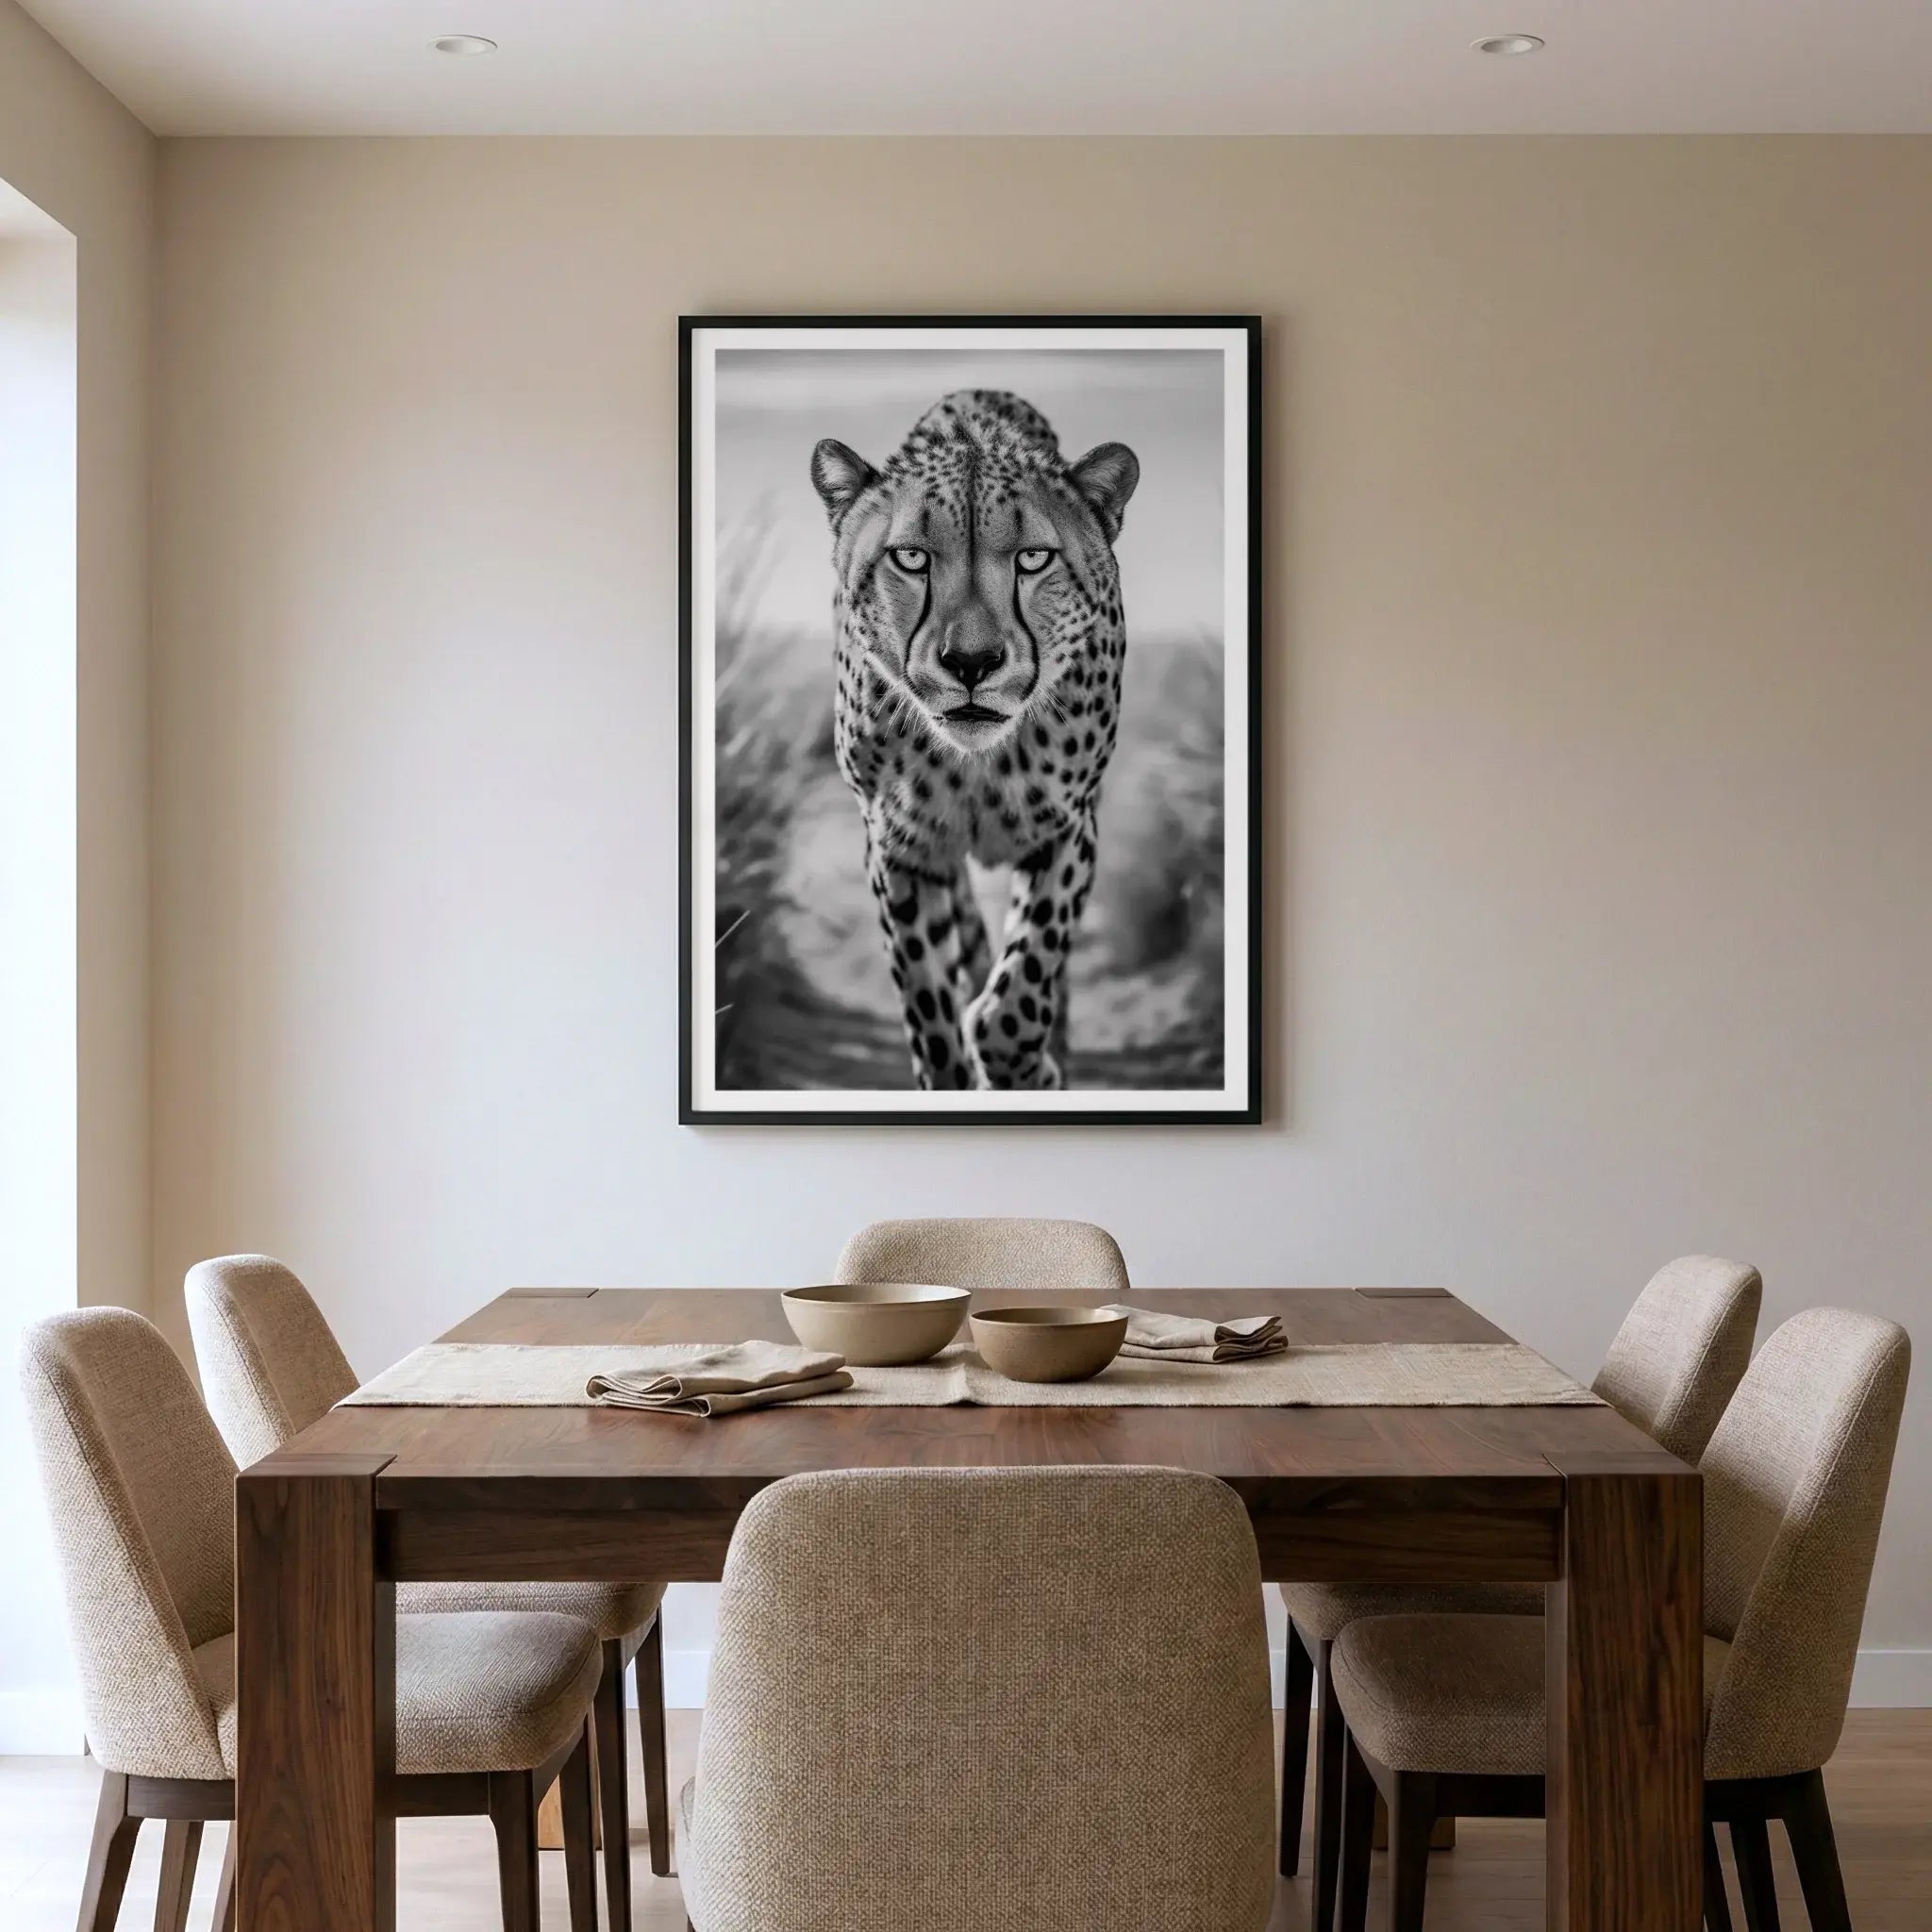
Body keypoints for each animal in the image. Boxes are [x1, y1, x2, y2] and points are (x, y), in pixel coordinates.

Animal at [810, 388, 1139, 1091]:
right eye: (910, 557)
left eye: (1033, 558)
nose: (971, 662)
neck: (975, 762)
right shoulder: (900, 848)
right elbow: (929, 1005)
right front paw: (958, 1066)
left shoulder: (1069, 828)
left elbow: (1027, 976)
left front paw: (1027, 1067)